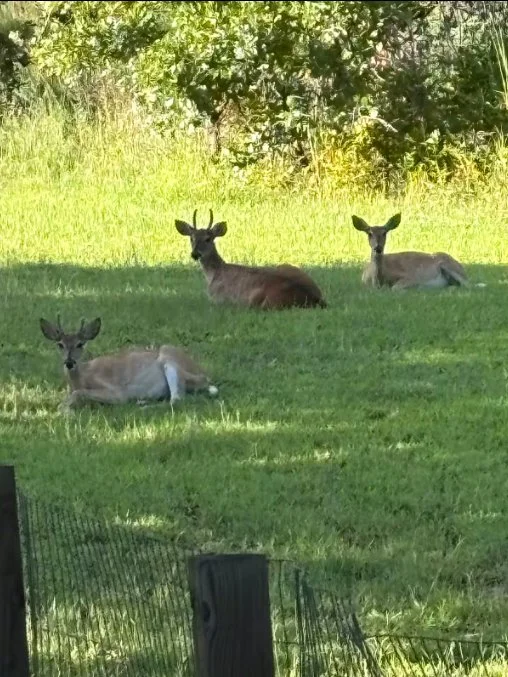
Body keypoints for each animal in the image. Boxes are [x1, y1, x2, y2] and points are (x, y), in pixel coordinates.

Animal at [39, 315, 218, 413]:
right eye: (60, 344)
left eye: (80, 344)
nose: (69, 362)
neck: (81, 378)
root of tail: (205, 375)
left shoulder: (116, 391)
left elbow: (78, 394)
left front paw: (66, 411)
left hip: (170, 360)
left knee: (177, 399)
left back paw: (142, 407)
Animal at [175, 209, 327, 309]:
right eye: (191, 238)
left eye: (208, 239)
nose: (195, 254)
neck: (214, 273)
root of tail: (315, 298)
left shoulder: (218, 298)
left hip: (259, 301)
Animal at [351, 213, 483, 290]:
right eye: (369, 233)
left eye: (385, 233)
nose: (378, 248)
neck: (378, 281)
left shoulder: (411, 277)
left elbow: (395, 288)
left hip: (449, 265)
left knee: (468, 285)